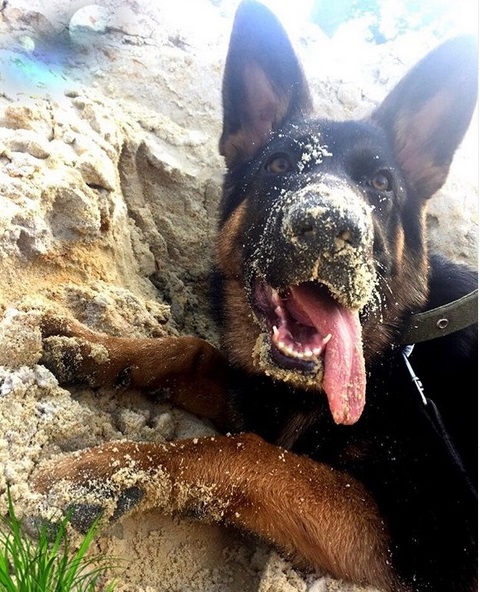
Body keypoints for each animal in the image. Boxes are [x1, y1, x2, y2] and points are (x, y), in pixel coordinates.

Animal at [33, 2, 476, 588]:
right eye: (279, 165)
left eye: (381, 183)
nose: (329, 225)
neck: (393, 354)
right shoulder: (255, 395)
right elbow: (189, 352)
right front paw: (90, 346)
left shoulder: (420, 544)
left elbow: (248, 453)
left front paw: (105, 472)